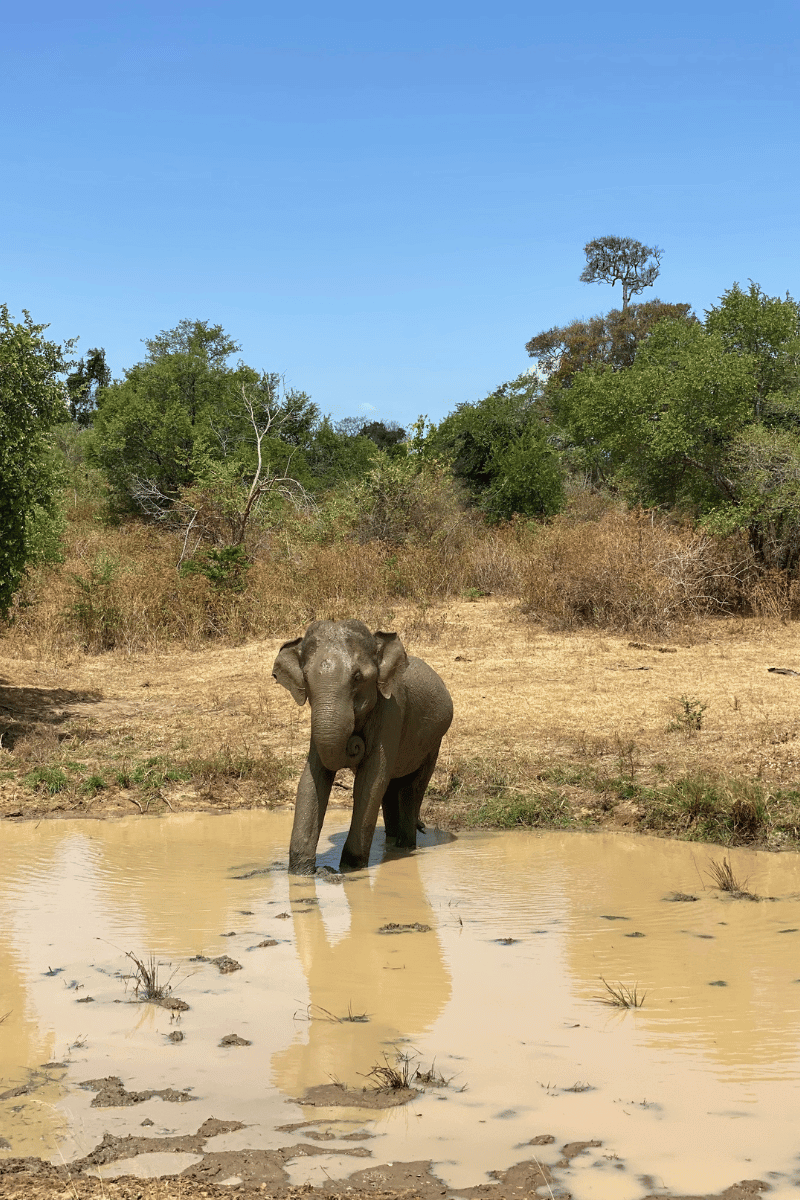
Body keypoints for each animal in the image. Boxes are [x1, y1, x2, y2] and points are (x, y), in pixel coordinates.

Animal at [272, 619, 453, 875]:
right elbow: (312, 778)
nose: (355, 743)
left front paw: (350, 868)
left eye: (357, 677)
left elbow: (370, 780)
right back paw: (391, 844)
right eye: (305, 679)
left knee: (411, 788)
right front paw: (300, 873)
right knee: (391, 787)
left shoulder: (391, 711)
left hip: (434, 740)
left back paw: (404, 847)